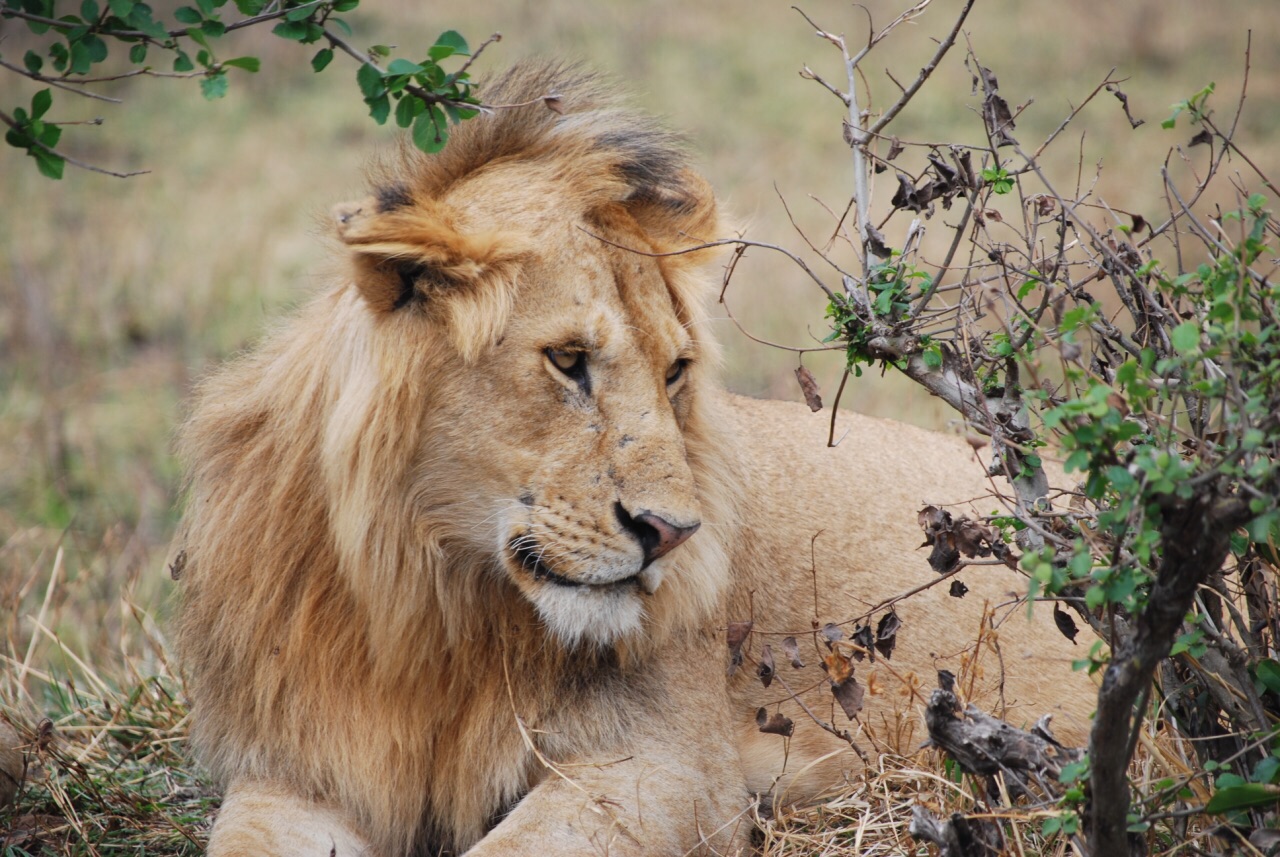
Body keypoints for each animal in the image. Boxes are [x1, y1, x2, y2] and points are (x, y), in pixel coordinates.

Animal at [175, 62, 1095, 857]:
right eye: (567, 359)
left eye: (675, 370)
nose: (671, 533)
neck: (430, 601)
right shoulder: (295, 770)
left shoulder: (670, 767)